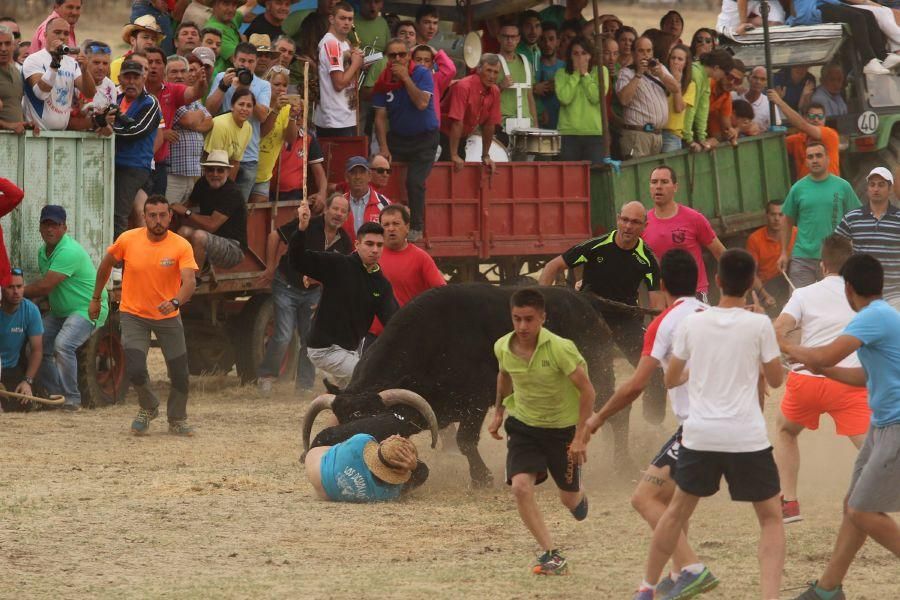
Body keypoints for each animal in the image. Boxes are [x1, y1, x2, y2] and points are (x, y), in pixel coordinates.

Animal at [302, 284, 660, 486]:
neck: (433, 343)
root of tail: (583, 297)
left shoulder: (474, 402)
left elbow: (465, 441)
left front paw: (483, 478)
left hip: (597, 376)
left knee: (616, 415)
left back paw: (623, 464)